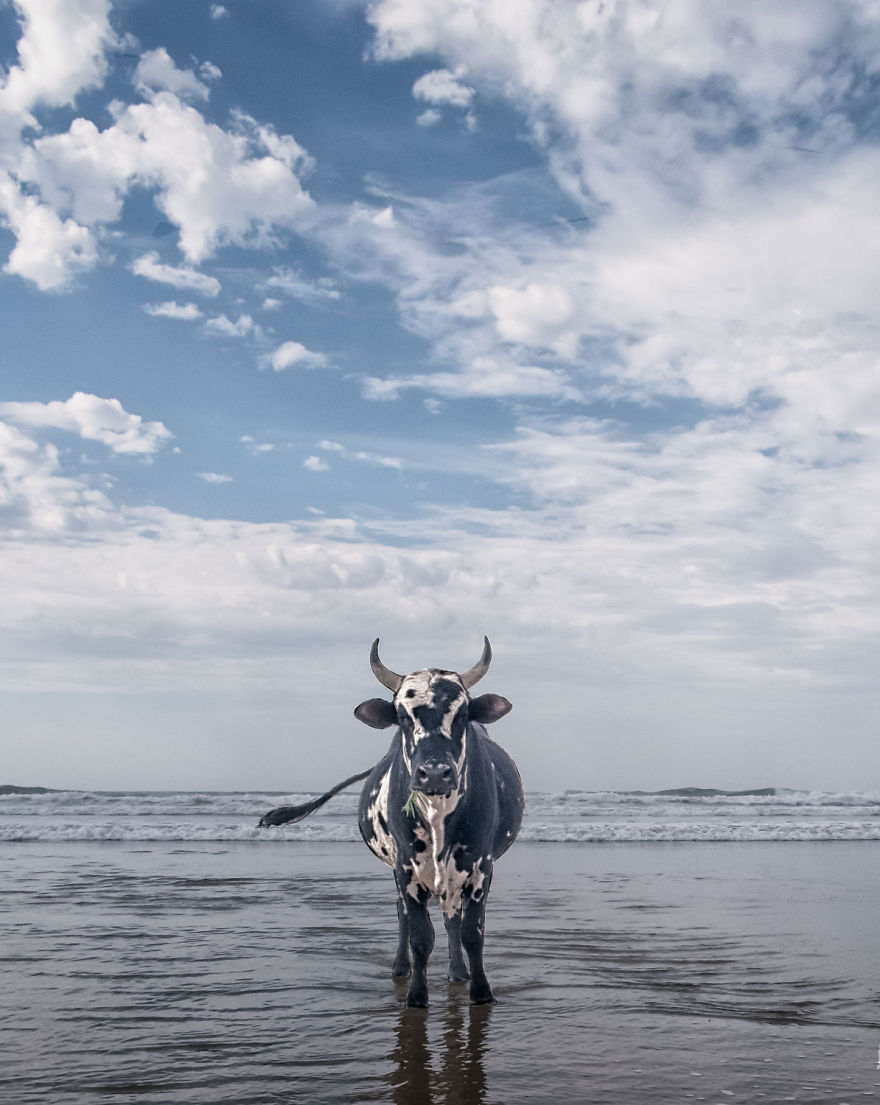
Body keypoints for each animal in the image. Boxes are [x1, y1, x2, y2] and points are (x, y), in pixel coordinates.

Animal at [259, 637, 524, 1007]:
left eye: (463, 713)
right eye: (402, 715)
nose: (435, 773)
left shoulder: (480, 866)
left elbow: (472, 934)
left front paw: (481, 993)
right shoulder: (406, 868)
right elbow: (420, 936)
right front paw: (416, 997)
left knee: (452, 920)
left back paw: (458, 972)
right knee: (404, 916)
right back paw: (402, 968)